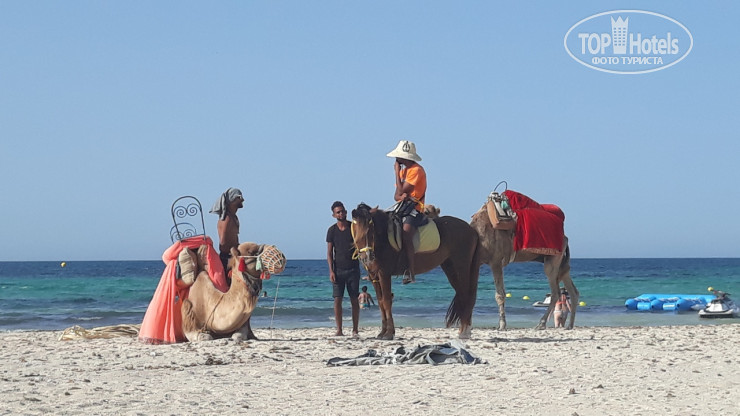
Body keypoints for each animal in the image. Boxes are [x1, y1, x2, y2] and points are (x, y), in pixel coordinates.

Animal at [350, 203, 480, 340]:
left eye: (371, 229)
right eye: (356, 229)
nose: (368, 257)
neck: (383, 238)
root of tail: (471, 230)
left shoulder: (384, 274)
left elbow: (386, 301)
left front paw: (389, 333)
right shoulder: (374, 276)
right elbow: (380, 302)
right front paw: (382, 332)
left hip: (462, 267)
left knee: (466, 295)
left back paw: (465, 331)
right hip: (450, 268)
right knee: (462, 295)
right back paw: (464, 330)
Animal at [470, 200, 578, 330]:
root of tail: (565, 238)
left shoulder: (496, 261)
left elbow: (500, 294)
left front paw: (502, 325)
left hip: (553, 259)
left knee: (555, 291)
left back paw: (541, 324)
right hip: (561, 262)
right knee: (572, 290)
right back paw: (569, 325)